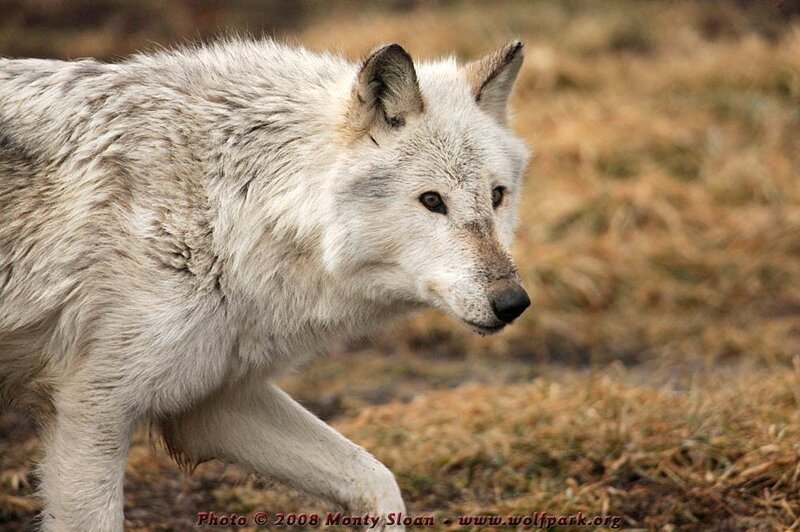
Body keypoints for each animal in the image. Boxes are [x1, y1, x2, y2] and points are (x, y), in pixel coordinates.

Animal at [0, 38, 530, 530]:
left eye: (497, 196)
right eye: (432, 201)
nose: (513, 302)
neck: (224, 208)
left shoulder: (213, 402)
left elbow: (377, 480)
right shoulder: (93, 411)